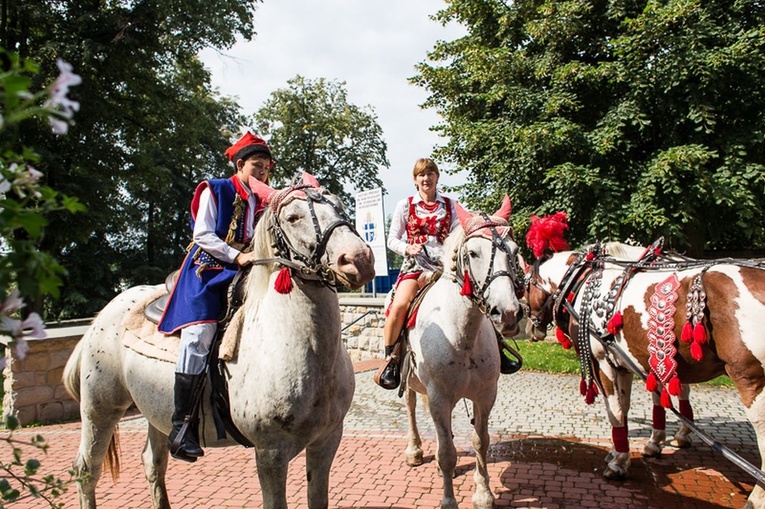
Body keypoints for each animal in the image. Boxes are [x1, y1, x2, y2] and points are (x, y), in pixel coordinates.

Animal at [62, 173, 376, 506]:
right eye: (293, 217)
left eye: (340, 205)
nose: (358, 260)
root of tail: (104, 313)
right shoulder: (271, 454)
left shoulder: (327, 441)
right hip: (100, 409)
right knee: (87, 470)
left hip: (152, 410)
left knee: (153, 463)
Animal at [402, 197, 524, 508]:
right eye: (472, 252)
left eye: (515, 251)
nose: (508, 313)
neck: (461, 333)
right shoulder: (438, 396)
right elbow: (447, 453)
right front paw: (448, 500)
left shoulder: (485, 395)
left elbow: (481, 442)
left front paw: (483, 494)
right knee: (410, 406)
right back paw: (414, 450)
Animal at [524, 239, 764, 508]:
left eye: (525, 285)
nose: (529, 327)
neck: (582, 282)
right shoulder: (626, 362)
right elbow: (628, 406)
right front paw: (628, 448)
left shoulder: (603, 362)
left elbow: (616, 410)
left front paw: (619, 462)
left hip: (749, 377)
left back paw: (756, 497)